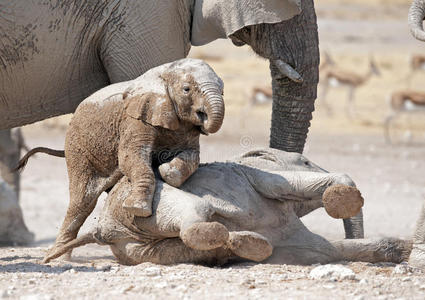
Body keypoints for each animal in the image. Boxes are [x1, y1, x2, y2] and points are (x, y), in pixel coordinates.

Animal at [44, 148, 410, 264]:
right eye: (306, 161)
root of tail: (101, 230)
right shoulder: (260, 177)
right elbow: (291, 185)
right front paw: (342, 197)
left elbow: (323, 251)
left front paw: (402, 251)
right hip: (138, 201)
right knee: (200, 214)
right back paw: (244, 244)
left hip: (133, 249)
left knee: (196, 247)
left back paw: (245, 246)